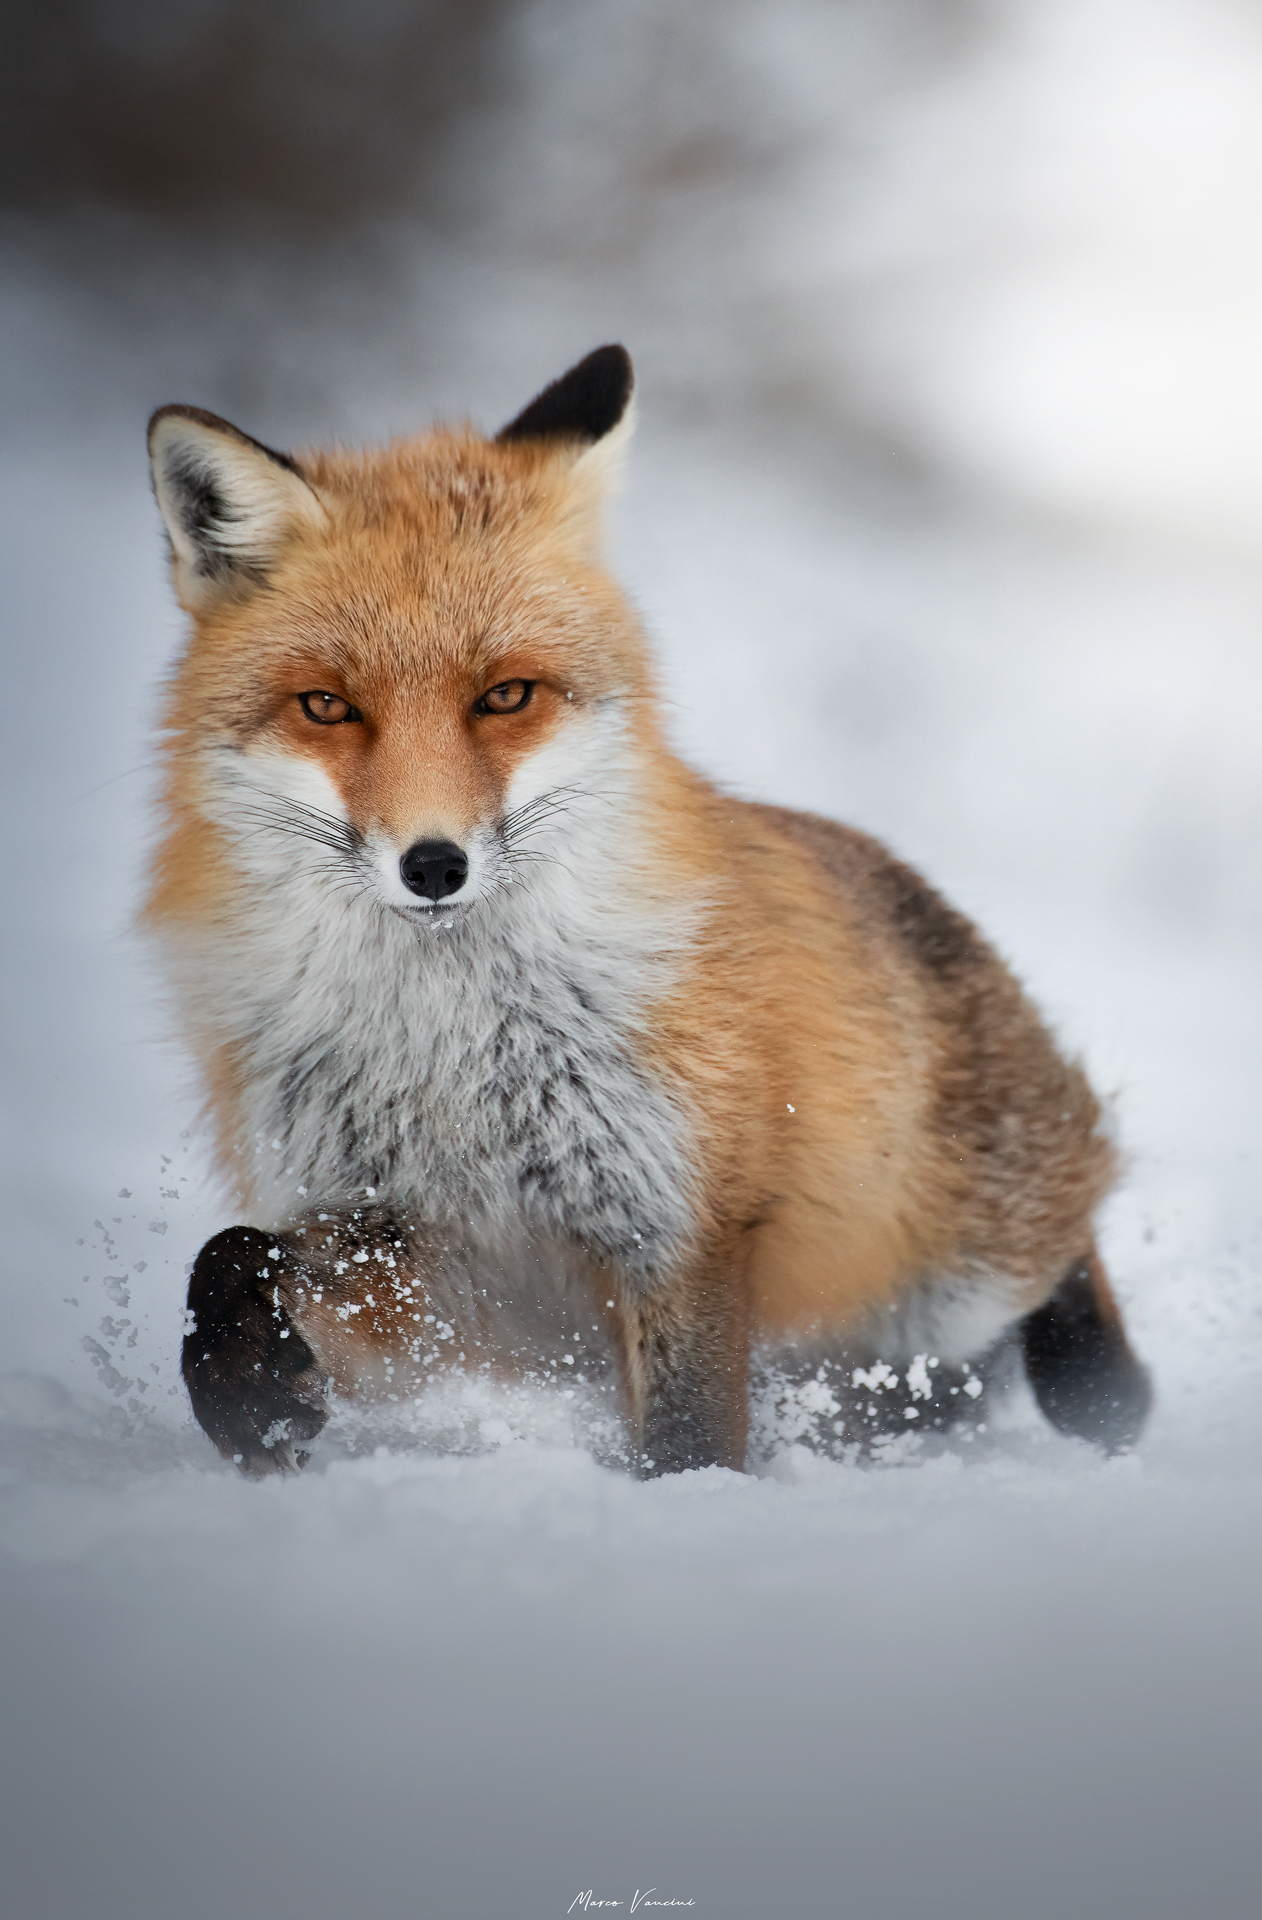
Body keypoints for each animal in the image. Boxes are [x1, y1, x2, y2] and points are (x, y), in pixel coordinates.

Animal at [145, 344, 1150, 1477]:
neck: (448, 1049)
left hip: (956, 1277)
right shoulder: (426, 1255)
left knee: (1071, 1228)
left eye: (506, 695)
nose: (433, 865)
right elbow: (230, 1256)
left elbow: (688, 1433)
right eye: (327, 706)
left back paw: (1103, 1385)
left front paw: (690, 1501)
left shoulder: (680, 1221)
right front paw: (249, 1398)